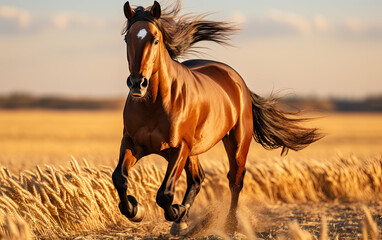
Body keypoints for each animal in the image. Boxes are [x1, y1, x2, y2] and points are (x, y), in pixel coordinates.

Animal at [111, 0, 322, 235]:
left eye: (155, 39)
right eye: (127, 39)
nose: (137, 84)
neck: (154, 103)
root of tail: (238, 81)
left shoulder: (179, 148)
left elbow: (164, 194)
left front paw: (176, 211)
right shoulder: (132, 143)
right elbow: (119, 178)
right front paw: (135, 209)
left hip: (236, 143)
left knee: (235, 179)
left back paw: (229, 224)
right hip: (194, 151)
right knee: (197, 178)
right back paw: (182, 221)